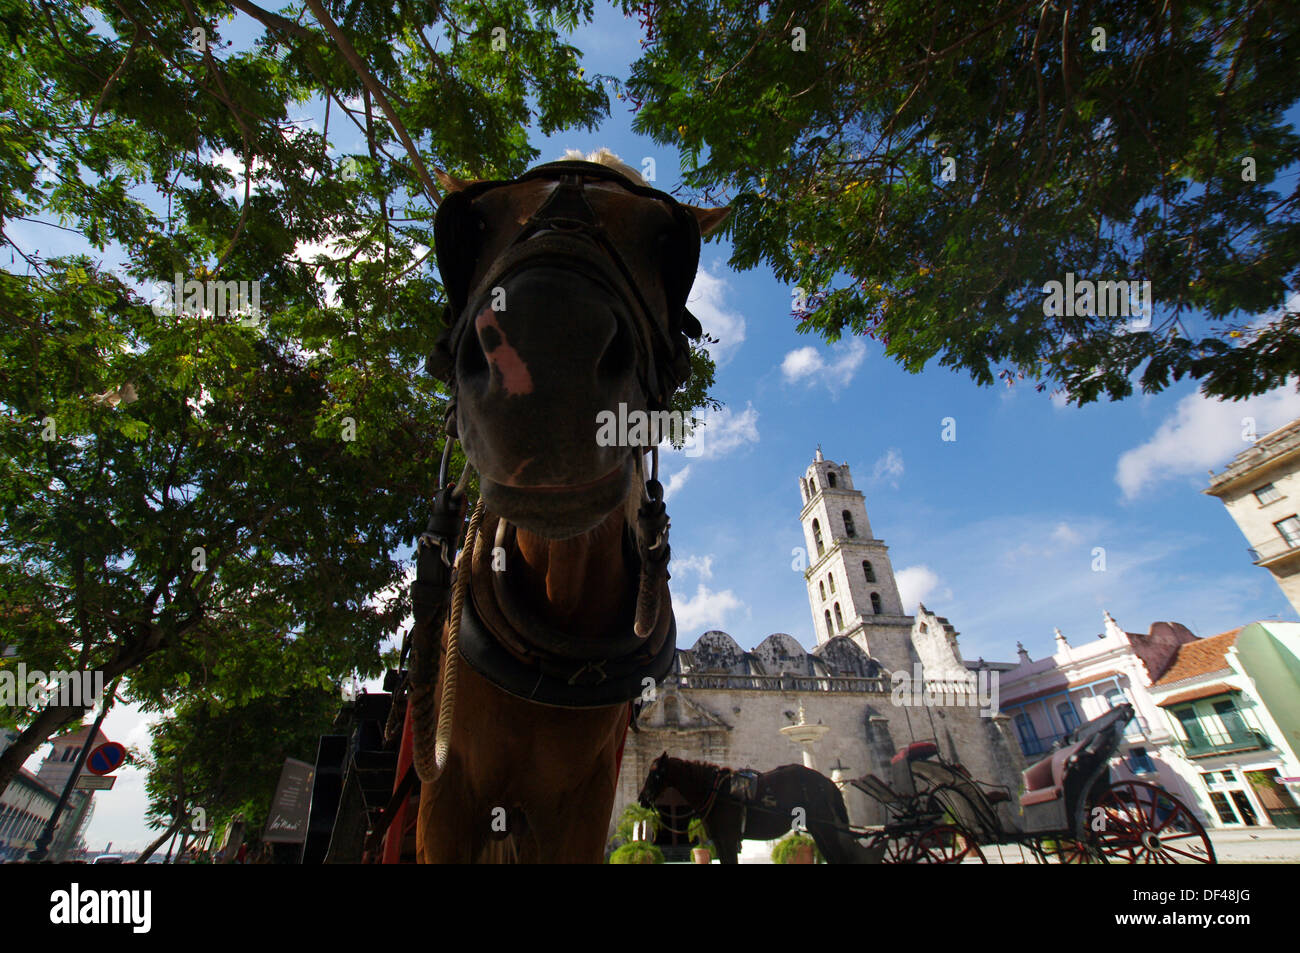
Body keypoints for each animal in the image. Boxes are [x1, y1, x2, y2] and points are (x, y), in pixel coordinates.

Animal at [634, 748, 878, 863]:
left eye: (655, 774)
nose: (641, 799)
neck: (715, 791)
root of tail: (827, 782)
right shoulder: (720, 841)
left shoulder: (728, 838)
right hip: (819, 828)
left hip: (825, 827)